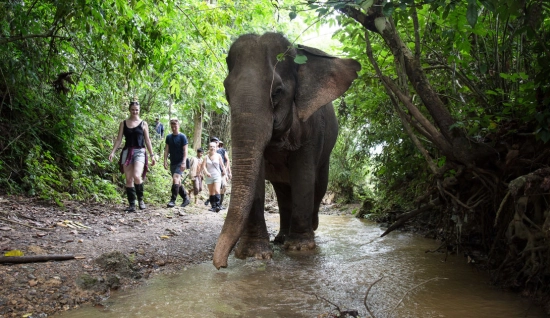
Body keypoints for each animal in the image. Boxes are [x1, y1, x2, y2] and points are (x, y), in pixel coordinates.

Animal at [212, 32, 362, 268]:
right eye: (226, 91)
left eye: (277, 92)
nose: (222, 265)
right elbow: (257, 176)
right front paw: (254, 254)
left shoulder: (312, 128)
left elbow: (303, 175)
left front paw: (300, 248)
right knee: (282, 192)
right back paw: (281, 238)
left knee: (319, 185)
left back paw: (309, 231)